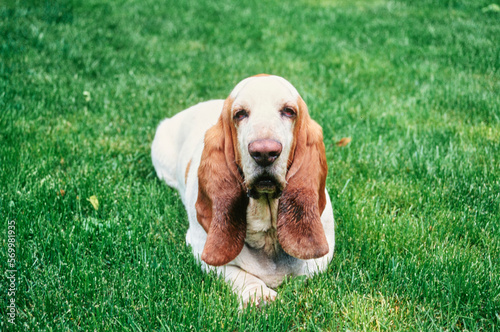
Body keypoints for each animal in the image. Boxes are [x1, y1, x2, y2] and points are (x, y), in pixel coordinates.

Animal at [150, 74, 334, 308]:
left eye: (289, 111)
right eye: (240, 114)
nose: (264, 152)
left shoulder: (321, 258)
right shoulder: (200, 248)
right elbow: (238, 273)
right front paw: (258, 295)